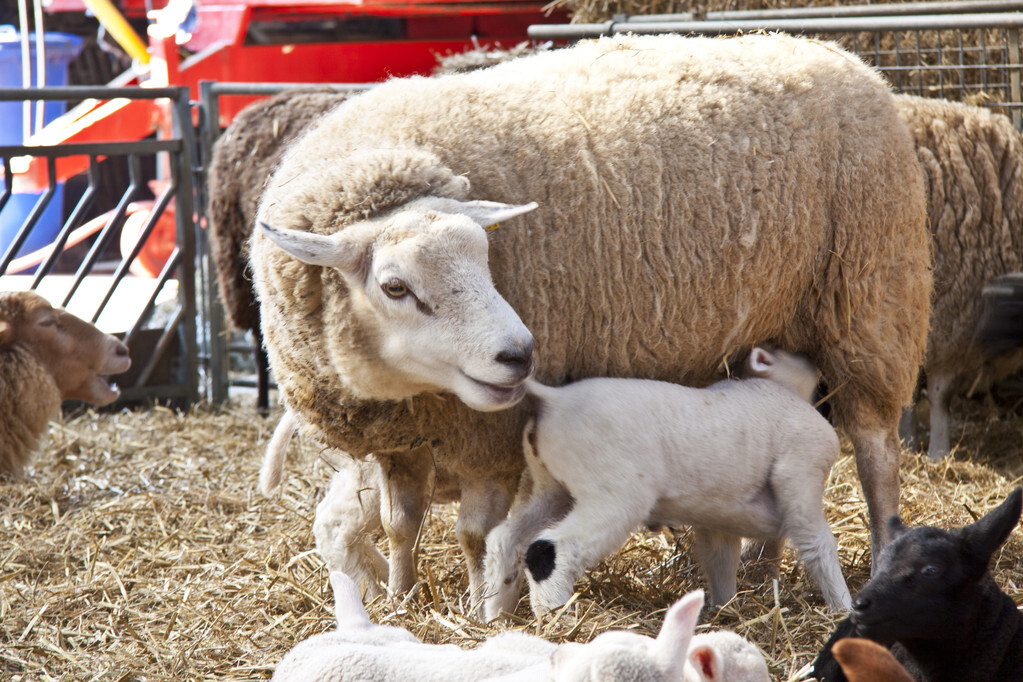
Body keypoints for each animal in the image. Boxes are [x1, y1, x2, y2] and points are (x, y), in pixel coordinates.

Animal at [253, 33, 937, 593]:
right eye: (394, 287)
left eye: (488, 259)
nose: (520, 355)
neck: (408, 390)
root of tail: (837, 54)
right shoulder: (402, 441)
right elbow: (402, 524)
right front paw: (401, 598)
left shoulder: (490, 433)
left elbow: (475, 533)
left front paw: (477, 605)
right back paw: (761, 570)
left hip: (871, 303)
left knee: (877, 454)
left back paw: (879, 554)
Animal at [482, 349, 851, 621]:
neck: (777, 389)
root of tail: (554, 399)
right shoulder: (802, 469)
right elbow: (818, 545)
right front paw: (844, 609)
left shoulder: (718, 521)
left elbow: (721, 560)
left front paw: (725, 611)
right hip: (615, 495)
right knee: (549, 549)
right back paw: (557, 617)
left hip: (551, 487)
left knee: (505, 540)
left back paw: (496, 616)